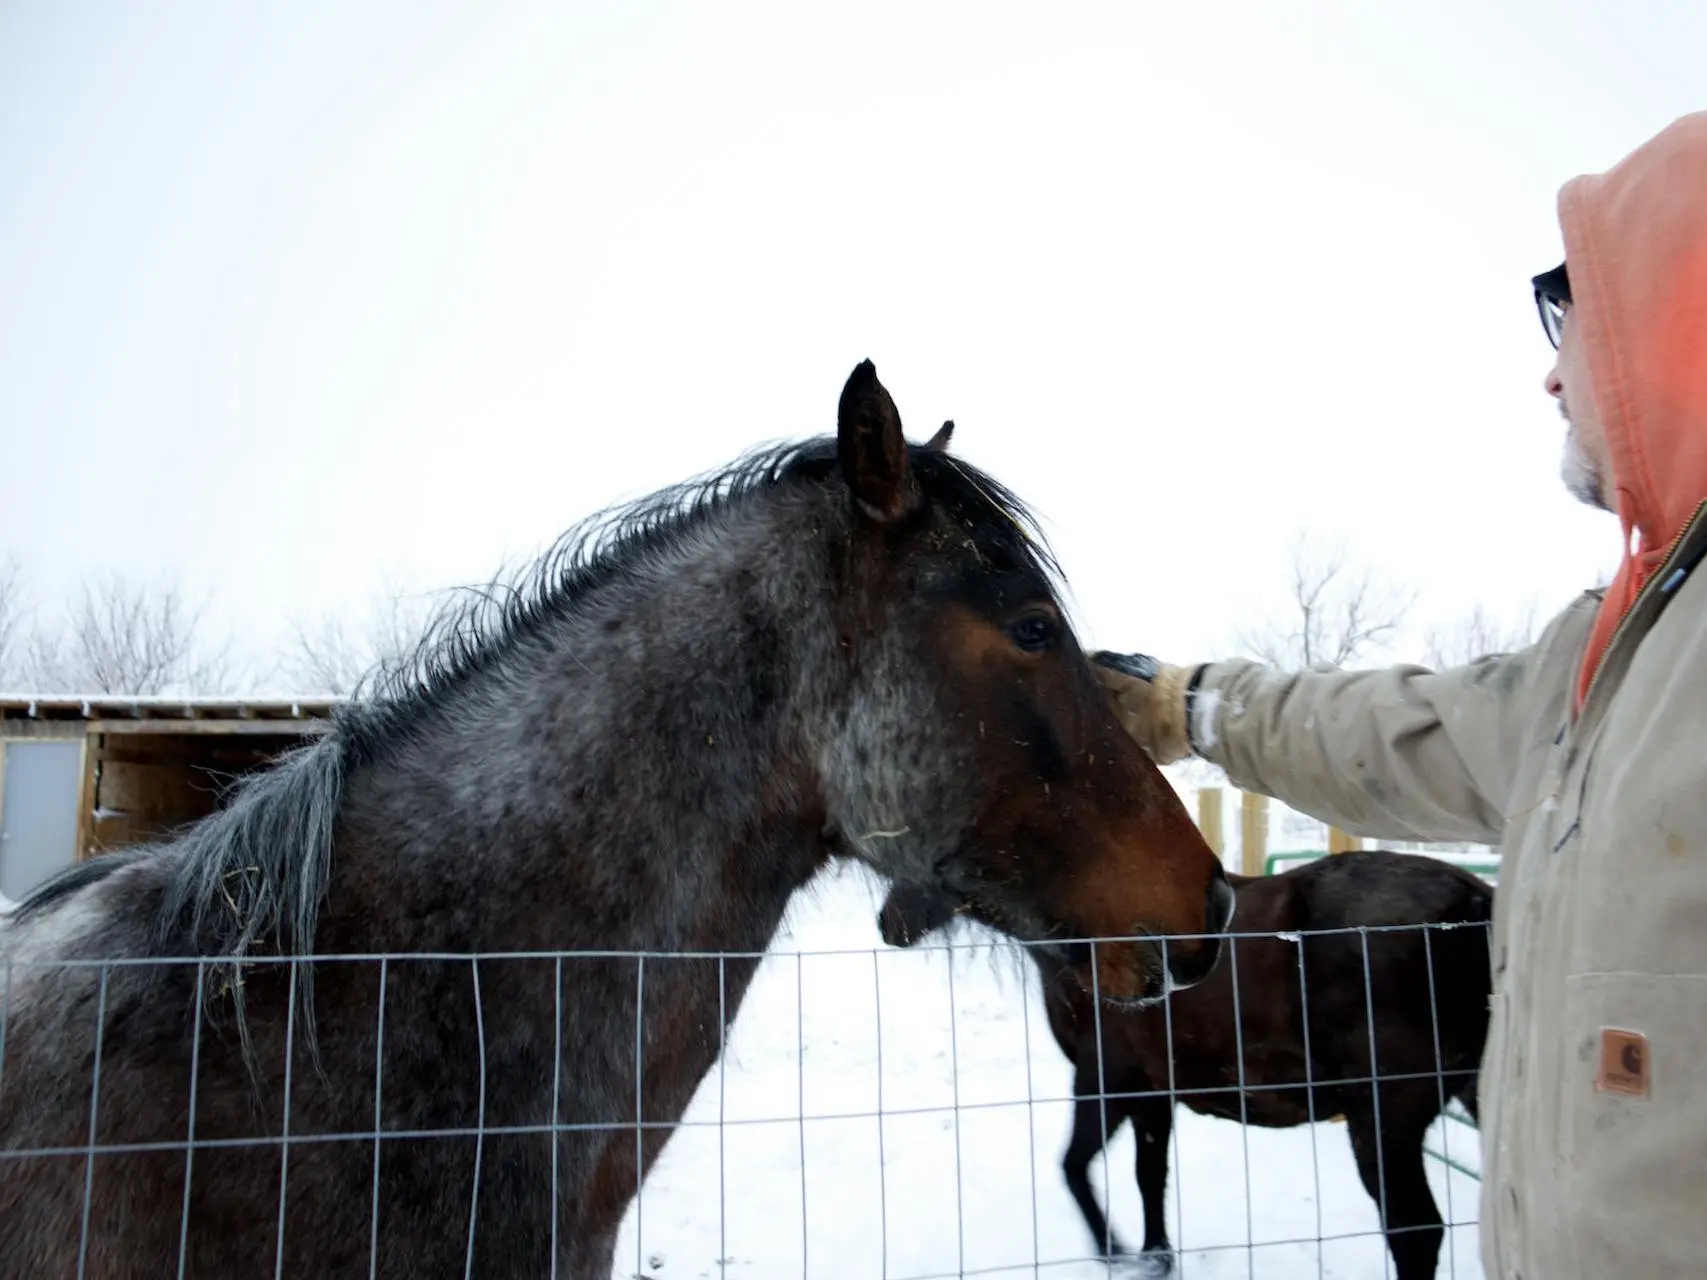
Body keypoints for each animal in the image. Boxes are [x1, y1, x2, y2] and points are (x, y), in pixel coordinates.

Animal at [880, 846, 1495, 1276]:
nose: (889, 923)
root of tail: (1472, 903)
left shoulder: (1104, 1080)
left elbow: (1074, 1166)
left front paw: (1114, 1249)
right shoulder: (1154, 1092)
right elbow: (1150, 1177)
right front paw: (1156, 1258)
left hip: (1382, 1121)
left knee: (1416, 1233)